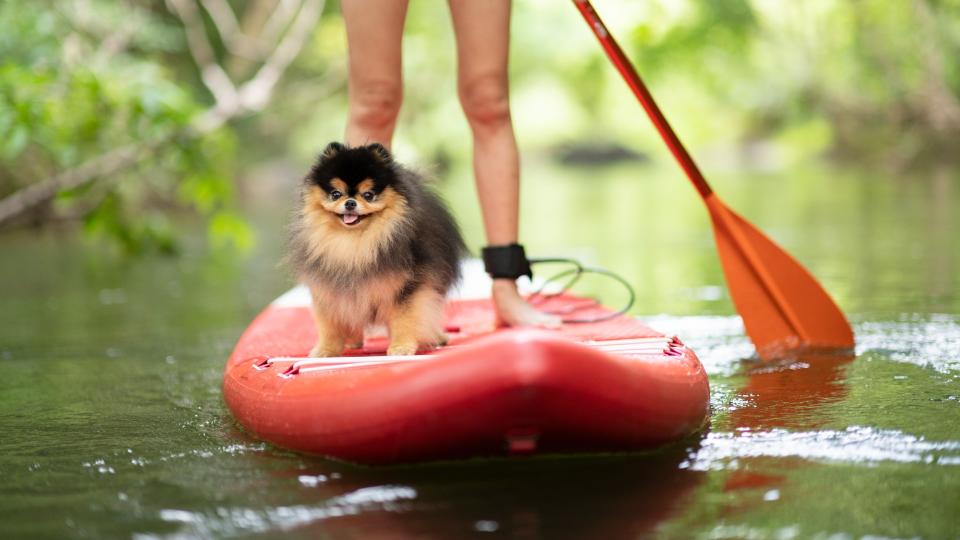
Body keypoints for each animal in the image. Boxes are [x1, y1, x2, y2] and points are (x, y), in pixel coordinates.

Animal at [286, 141, 466, 356]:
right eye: (335, 194)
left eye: (369, 195)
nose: (350, 202)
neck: (354, 242)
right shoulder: (329, 289)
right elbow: (329, 325)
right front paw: (326, 350)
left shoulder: (406, 288)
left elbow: (406, 319)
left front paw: (401, 347)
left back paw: (436, 337)